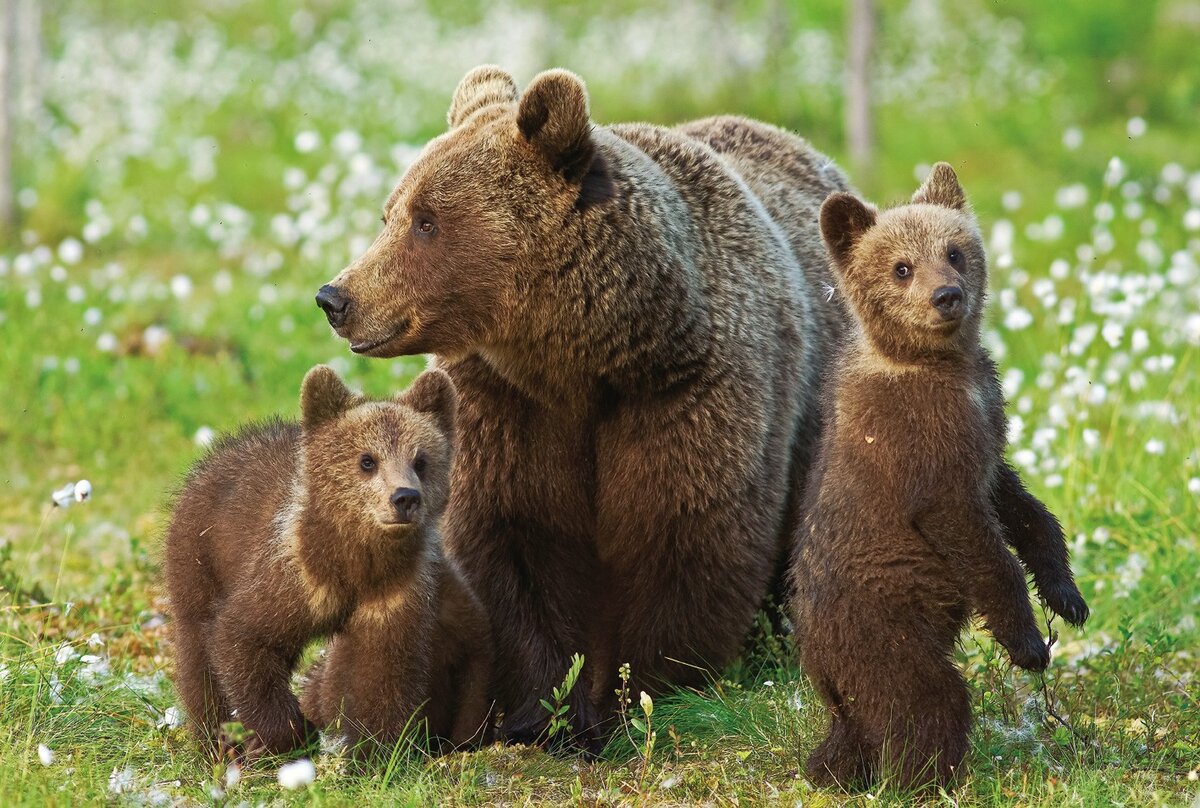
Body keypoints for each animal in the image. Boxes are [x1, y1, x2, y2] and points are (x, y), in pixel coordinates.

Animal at [314, 66, 849, 739]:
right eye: (392, 212)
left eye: (426, 220)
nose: (336, 297)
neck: (583, 358)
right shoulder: (507, 408)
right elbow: (514, 545)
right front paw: (546, 713)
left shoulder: (685, 393)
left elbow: (681, 539)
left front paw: (626, 700)